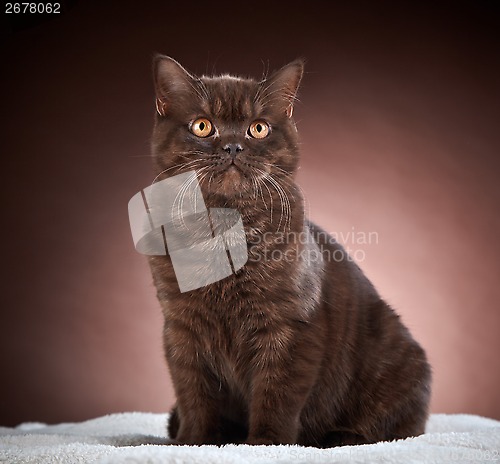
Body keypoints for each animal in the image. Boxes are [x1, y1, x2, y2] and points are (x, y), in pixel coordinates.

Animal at [146, 56, 430, 448]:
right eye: (203, 126)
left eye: (258, 129)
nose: (233, 146)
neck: (223, 230)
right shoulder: (181, 326)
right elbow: (193, 393)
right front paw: (193, 442)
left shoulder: (288, 325)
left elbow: (277, 392)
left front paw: (266, 444)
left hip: (397, 355)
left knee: (397, 426)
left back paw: (341, 436)